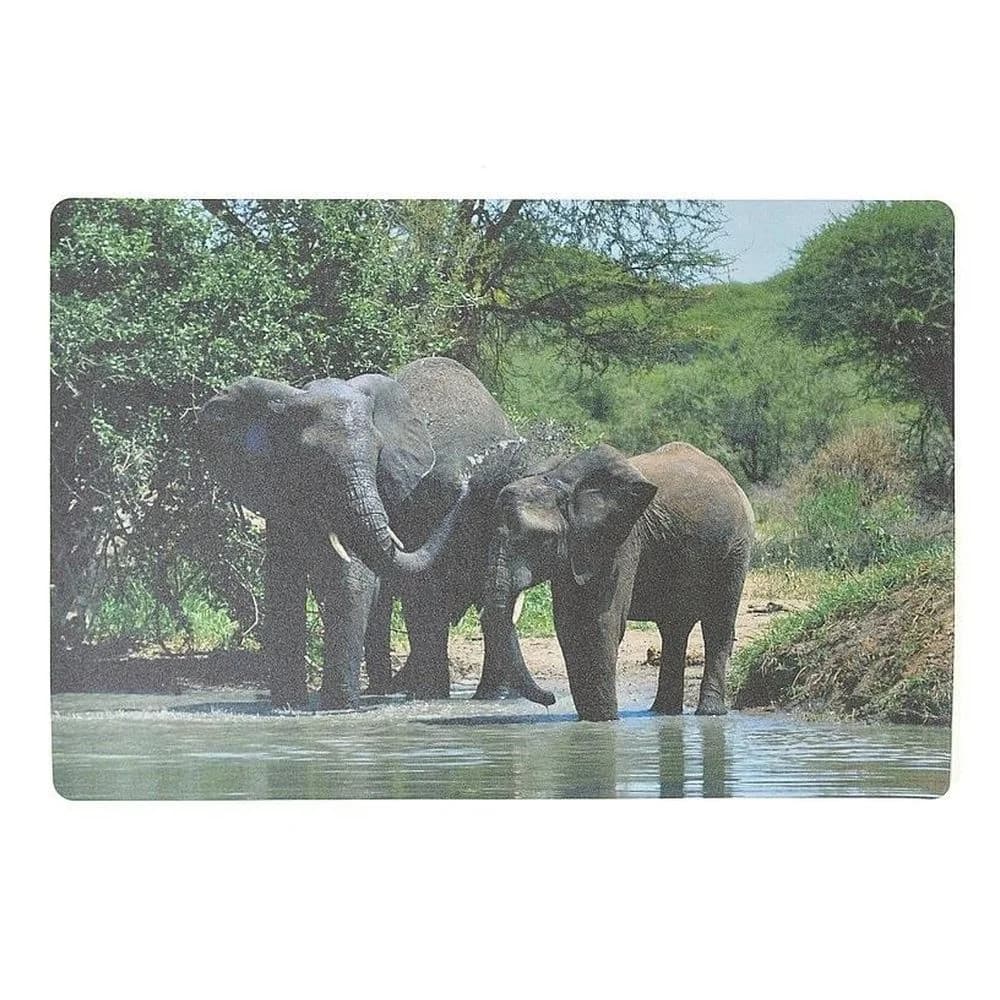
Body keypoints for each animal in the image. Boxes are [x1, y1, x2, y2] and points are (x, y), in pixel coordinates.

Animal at [197, 356, 555, 711]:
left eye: (378, 454)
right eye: (311, 458)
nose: (465, 483)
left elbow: (355, 576)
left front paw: (336, 705)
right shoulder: (279, 489)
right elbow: (283, 578)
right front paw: (290, 706)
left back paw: (458, 696)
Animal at [484, 441, 755, 721]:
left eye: (538, 539)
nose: (551, 698)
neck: (563, 484)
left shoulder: (621, 538)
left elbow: (600, 621)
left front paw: (603, 721)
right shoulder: (579, 545)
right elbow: (569, 623)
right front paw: (591, 719)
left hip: (736, 550)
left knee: (718, 625)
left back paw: (709, 713)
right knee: (674, 629)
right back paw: (663, 713)